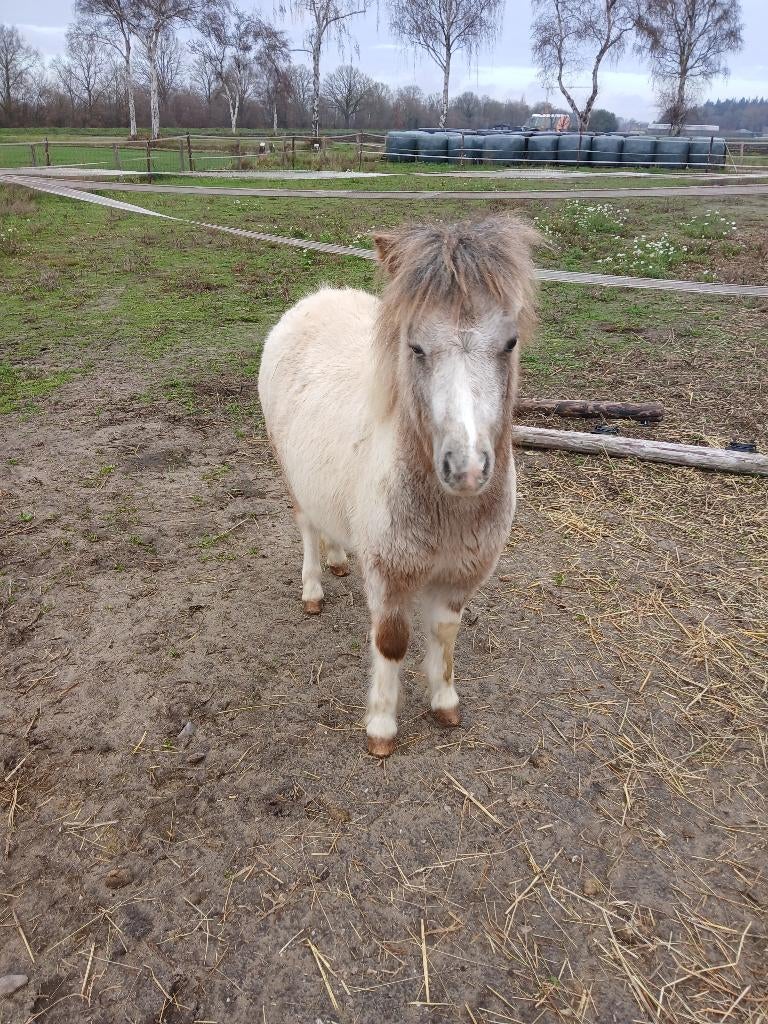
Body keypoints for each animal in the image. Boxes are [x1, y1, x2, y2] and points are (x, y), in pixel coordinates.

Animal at [258, 217, 539, 756]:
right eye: (416, 346)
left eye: (510, 342)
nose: (466, 469)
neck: (448, 512)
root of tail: (317, 298)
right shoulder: (389, 575)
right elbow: (391, 644)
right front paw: (382, 729)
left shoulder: (459, 576)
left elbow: (444, 635)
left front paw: (445, 704)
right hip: (290, 472)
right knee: (307, 526)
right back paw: (313, 588)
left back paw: (340, 560)